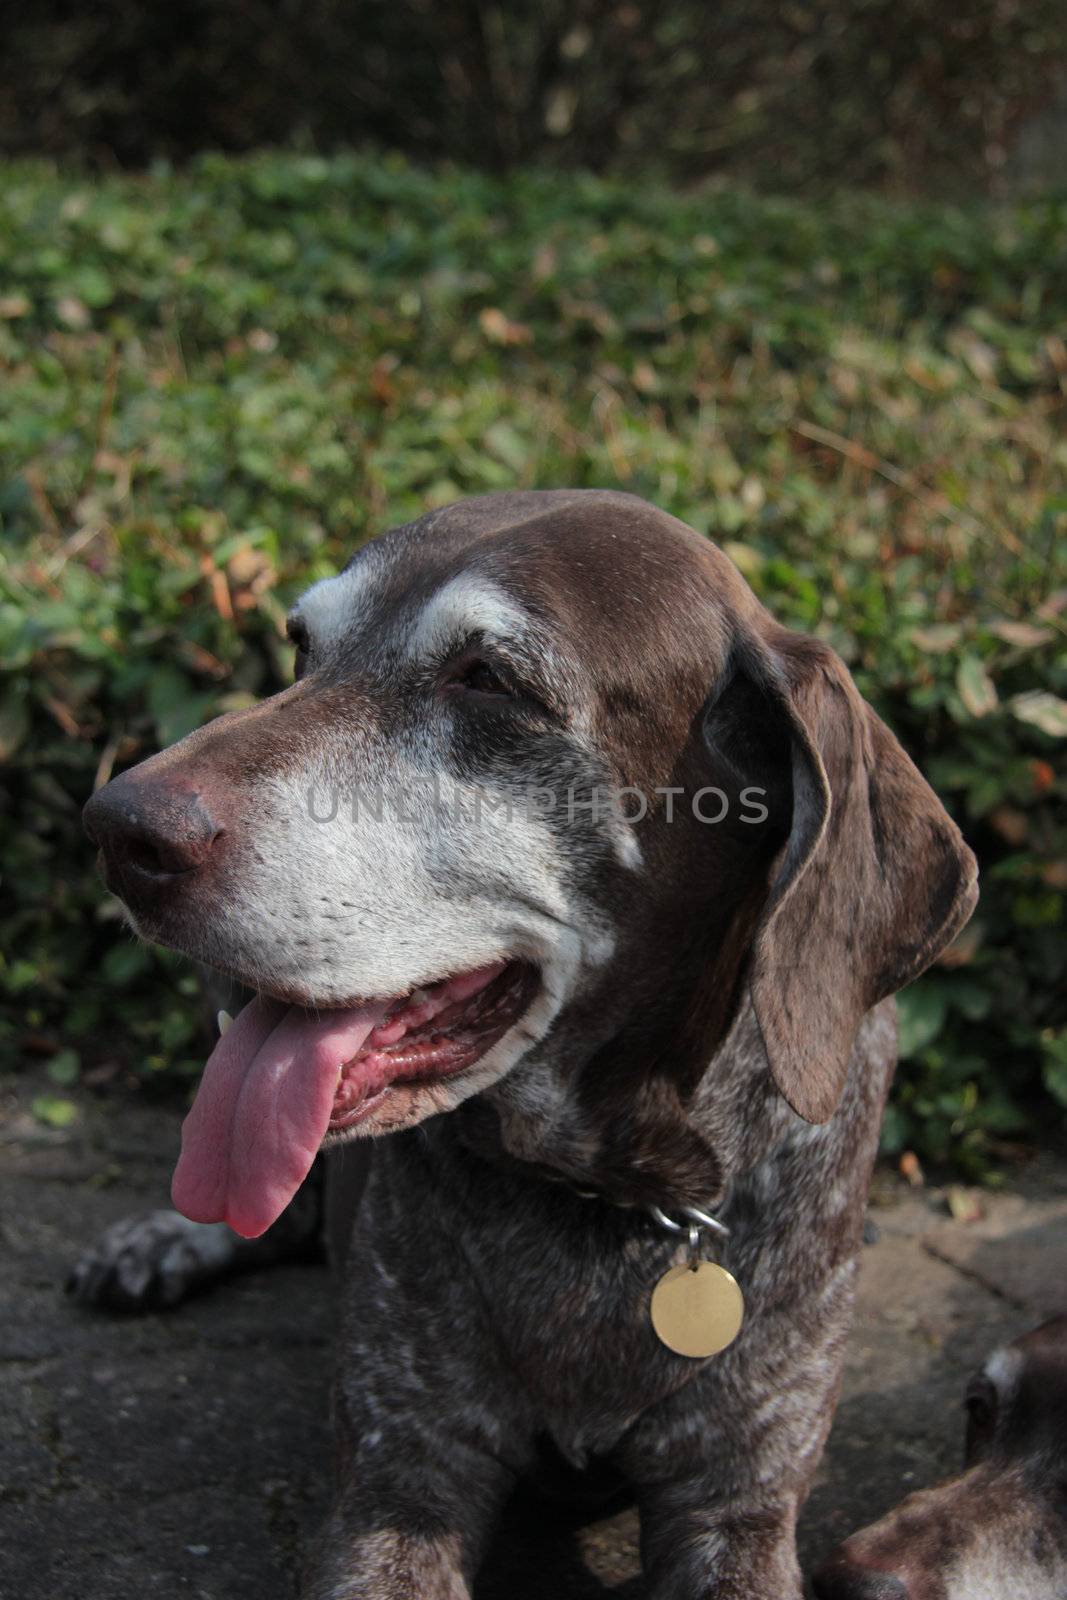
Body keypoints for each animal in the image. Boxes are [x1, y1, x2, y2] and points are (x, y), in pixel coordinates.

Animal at [70, 489, 979, 1600]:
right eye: (300, 647)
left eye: (489, 680)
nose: (116, 828)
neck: (614, 1198)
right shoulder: (400, 1480)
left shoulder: (737, 1507)